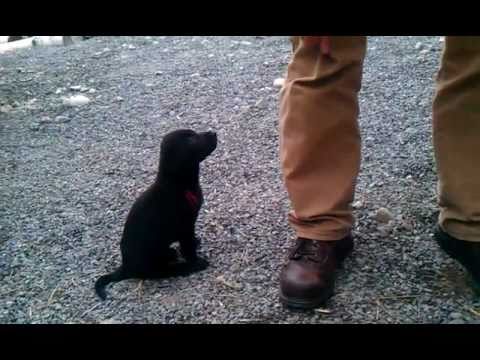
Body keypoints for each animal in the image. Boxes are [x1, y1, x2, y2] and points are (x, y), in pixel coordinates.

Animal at [95, 128, 218, 300]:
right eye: (190, 139)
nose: (213, 133)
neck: (179, 185)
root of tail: (125, 266)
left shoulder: (190, 225)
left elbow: (190, 242)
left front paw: (196, 242)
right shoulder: (185, 226)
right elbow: (188, 248)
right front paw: (196, 262)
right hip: (151, 260)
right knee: (163, 272)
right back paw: (185, 266)